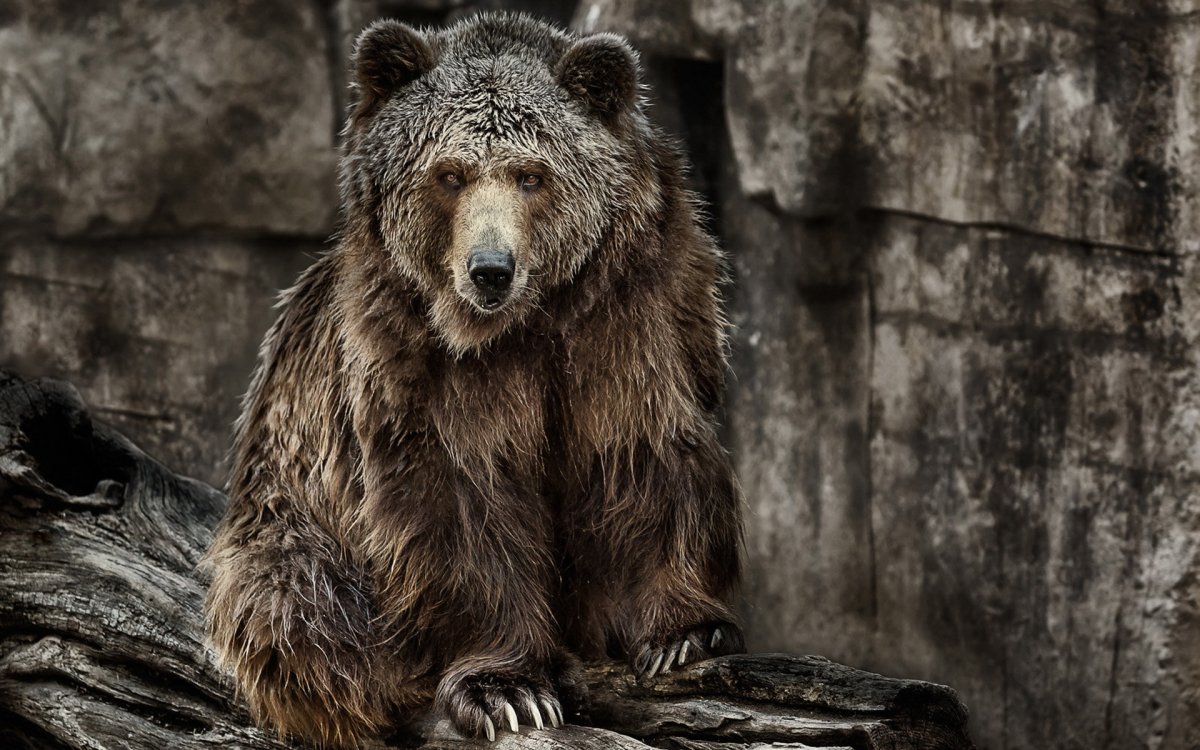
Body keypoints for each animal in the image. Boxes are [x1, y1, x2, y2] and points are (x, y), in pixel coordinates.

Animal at [203, 11, 743, 748]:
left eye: (531, 175)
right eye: (450, 174)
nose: (491, 269)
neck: (525, 325)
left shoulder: (629, 315)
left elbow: (639, 450)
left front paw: (684, 635)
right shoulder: (421, 361)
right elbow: (467, 502)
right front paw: (507, 692)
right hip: (288, 514)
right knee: (300, 611)